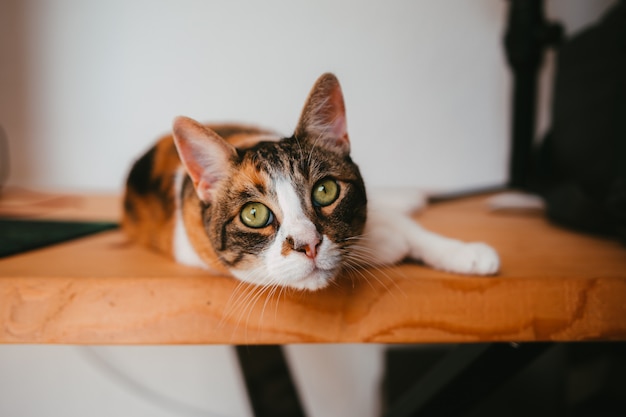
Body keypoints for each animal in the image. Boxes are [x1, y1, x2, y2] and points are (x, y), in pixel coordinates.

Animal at [124, 72, 500, 290]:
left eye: (325, 190)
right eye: (254, 214)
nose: (309, 245)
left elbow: (406, 228)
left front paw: (465, 253)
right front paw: (386, 243)